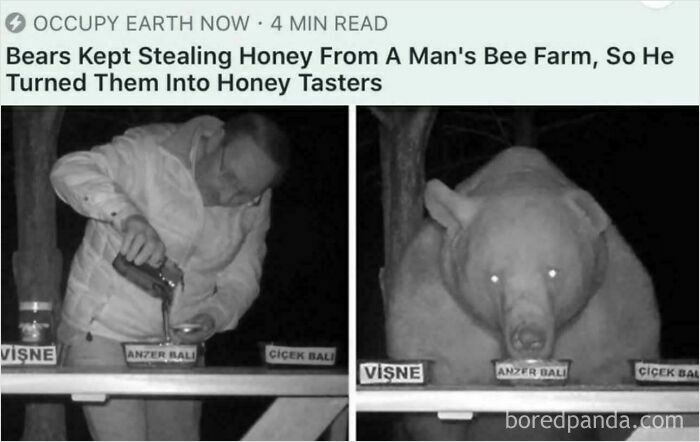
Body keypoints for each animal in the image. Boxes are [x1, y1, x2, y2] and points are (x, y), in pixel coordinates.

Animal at [386, 147, 660, 440]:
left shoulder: (613, 317)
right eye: (494, 277)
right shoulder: (434, 313)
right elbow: (436, 413)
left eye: (553, 272)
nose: (529, 338)